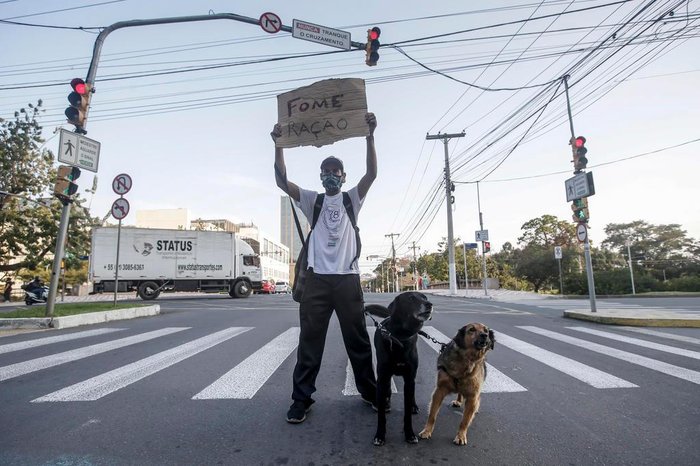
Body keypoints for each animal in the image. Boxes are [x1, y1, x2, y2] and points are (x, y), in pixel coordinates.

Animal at [366, 292, 432, 448]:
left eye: (425, 297)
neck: (400, 338)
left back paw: (414, 406)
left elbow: (407, 413)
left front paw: (410, 434)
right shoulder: (382, 379)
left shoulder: (409, 379)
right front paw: (380, 435)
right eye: (411, 298)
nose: (429, 304)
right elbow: (381, 415)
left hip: (412, 378)